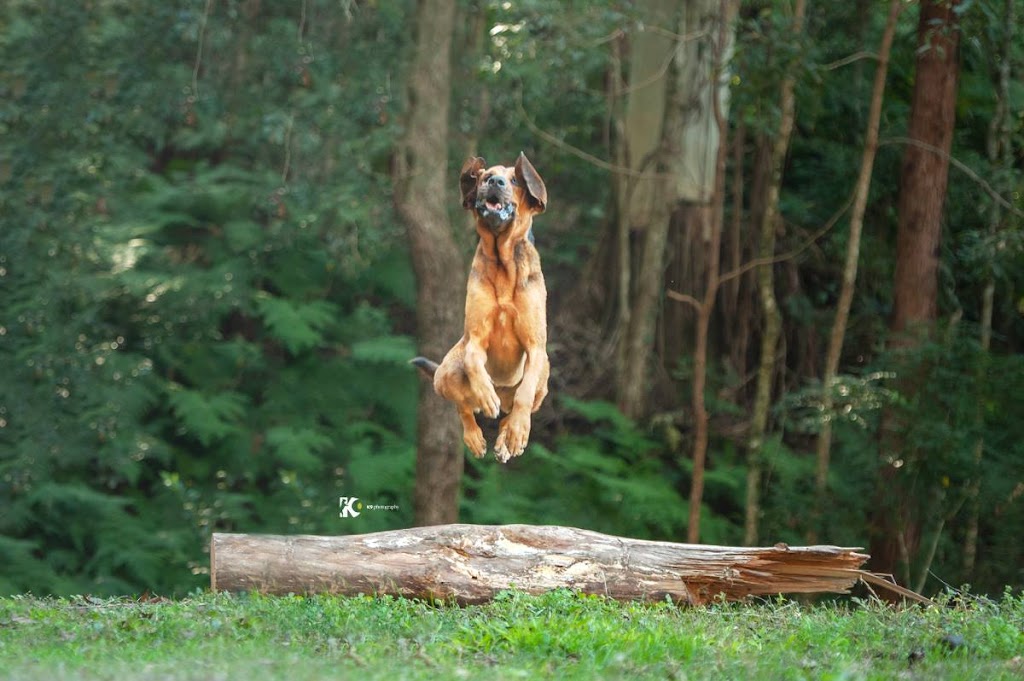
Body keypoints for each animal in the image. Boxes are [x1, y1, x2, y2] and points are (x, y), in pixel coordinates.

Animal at [409, 152, 548, 462]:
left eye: (515, 180)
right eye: (485, 176)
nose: (493, 182)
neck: (503, 262)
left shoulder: (536, 347)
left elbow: (524, 395)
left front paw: (516, 434)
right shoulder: (474, 336)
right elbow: (474, 359)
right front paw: (485, 393)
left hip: (545, 376)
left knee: (514, 407)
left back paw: (507, 438)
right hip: (446, 372)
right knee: (462, 406)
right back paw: (475, 432)